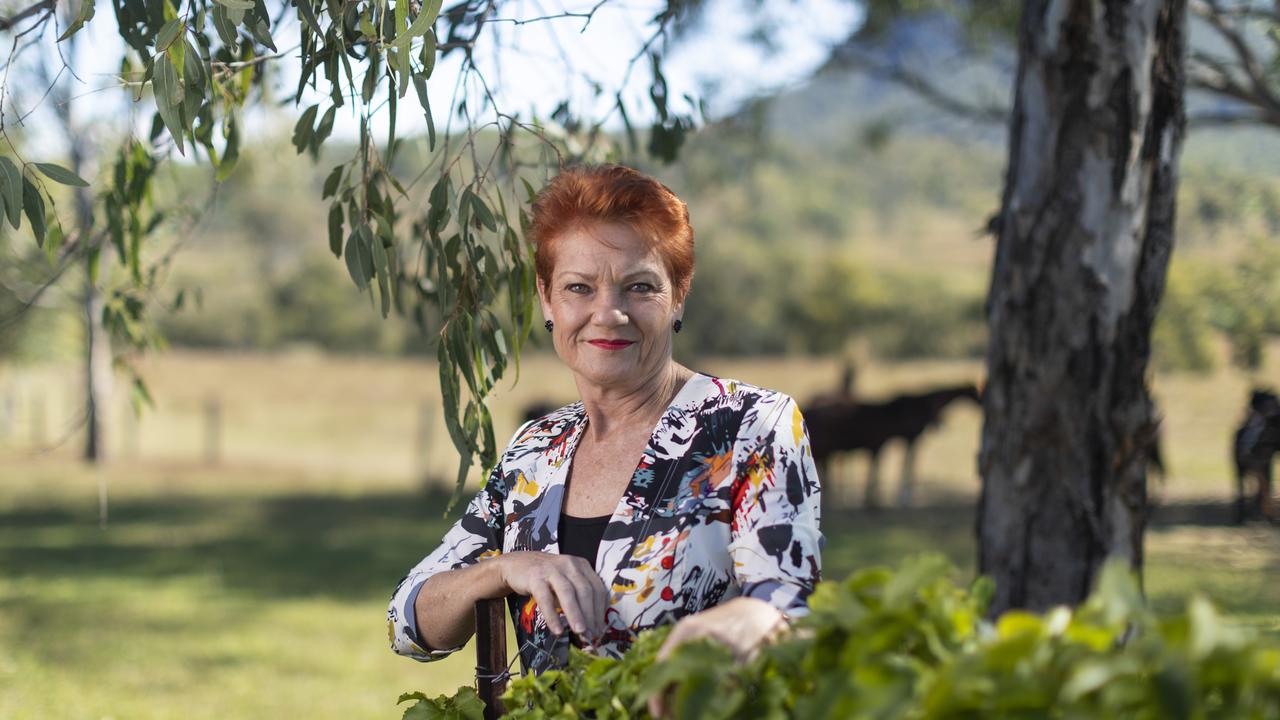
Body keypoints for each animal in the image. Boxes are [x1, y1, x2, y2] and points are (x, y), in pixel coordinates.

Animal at [808, 384, 977, 507]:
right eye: (976, 392)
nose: (939, 427)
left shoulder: (889, 443)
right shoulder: (906, 440)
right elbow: (904, 466)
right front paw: (902, 497)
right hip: (827, 449)